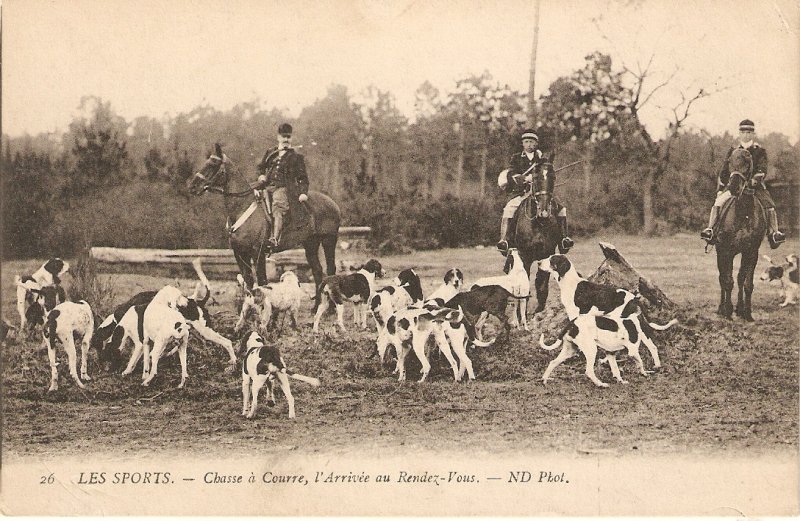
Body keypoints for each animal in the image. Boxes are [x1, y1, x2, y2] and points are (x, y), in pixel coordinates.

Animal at [187, 142, 340, 304]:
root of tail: (332, 203)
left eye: (213, 165)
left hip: (329, 240)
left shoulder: (257, 252)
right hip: (310, 243)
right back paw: (315, 307)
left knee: (331, 271)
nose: (192, 186)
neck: (241, 208)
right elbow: (248, 281)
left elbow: (262, 282)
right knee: (318, 272)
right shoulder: (239, 252)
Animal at [506, 152, 564, 314]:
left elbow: (542, 285)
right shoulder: (523, 256)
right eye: (536, 176)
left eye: (553, 177)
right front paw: (521, 315)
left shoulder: (546, 254)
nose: (544, 213)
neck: (538, 223)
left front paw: (539, 311)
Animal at [712, 145, 768, 316]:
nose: (734, 186)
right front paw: (728, 310)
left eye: (748, 162)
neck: (743, 212)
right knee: (722, 278)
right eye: (729, 162)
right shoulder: (726, 250)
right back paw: (721, 307)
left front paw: (745, 312)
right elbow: (727, 281)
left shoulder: (751, 251)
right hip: (720, 251)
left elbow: (745, 281)